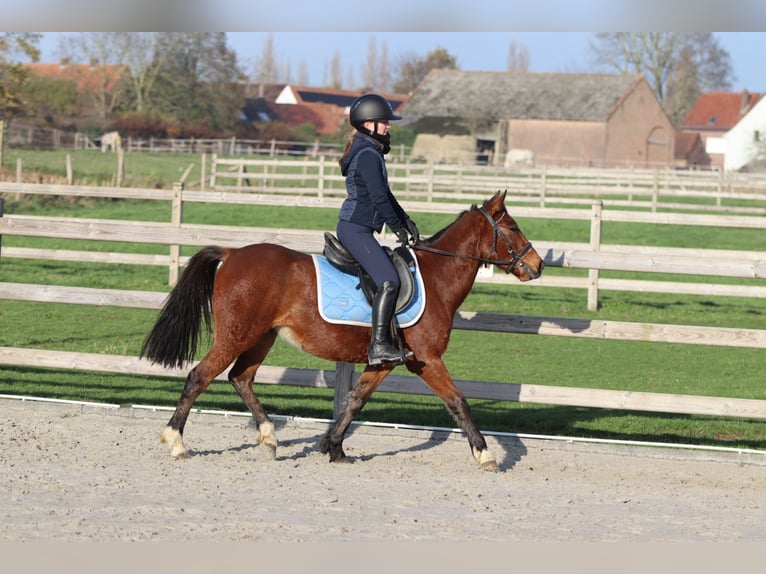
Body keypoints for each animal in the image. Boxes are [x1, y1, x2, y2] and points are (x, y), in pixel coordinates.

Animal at [140, 190, 544, 471]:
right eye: (512, 228)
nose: (537, 265)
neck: (436, 276)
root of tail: (232, 253)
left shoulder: (384, 362)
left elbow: (355, 400)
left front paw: (333, 447)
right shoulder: (427, 360)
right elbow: (458, 401)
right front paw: (486, 454)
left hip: (261, 337)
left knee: (241, 378)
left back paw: (269, 438)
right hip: (236, 335)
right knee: (200, 376)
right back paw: (177, 442)